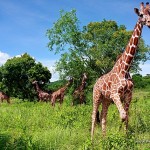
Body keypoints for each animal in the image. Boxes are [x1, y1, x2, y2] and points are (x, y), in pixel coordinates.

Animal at [91, 2, 149, 138]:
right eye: (141, 14)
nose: (149, 22)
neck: (125, 68)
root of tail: (95, 83)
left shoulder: (128, 96)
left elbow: (126, 117)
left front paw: (125, 137)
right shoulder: (115, 94)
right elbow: (122, 116)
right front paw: (118, 135)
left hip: (106, 100)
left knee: (103, 117)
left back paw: (104, 138)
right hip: (96, 97)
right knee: (93, 116)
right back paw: (92, 139)